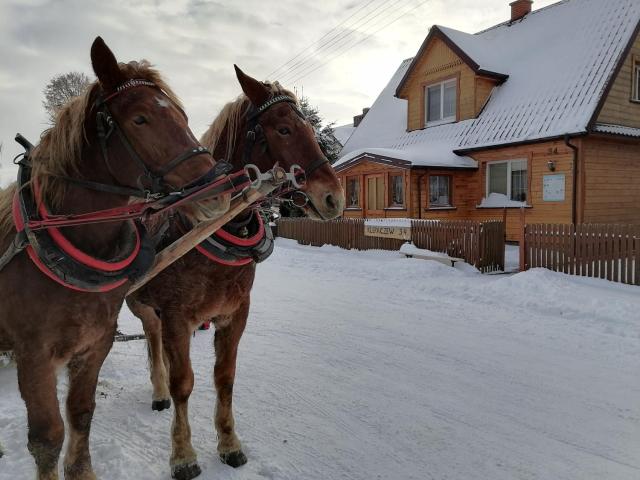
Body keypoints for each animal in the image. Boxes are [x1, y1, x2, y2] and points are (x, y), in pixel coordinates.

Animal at [0, 38, 229, 480]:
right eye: (139, 119)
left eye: (182, 115)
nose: (219, 191)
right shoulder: (33, 355)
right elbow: (47, 437)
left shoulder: (95, 343)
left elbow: (81, 413)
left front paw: (82, 471)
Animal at [125, 68, 344, 480]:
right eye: (283, 129)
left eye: (308, 125)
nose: (333, 198)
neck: (219, 230)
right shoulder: (177, 317)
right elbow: (184, 383)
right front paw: (183, 455)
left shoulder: (235, 314)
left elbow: (224, 377)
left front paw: (229, 444)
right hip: (136, 301)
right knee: (149, 338)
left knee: (153, 339)